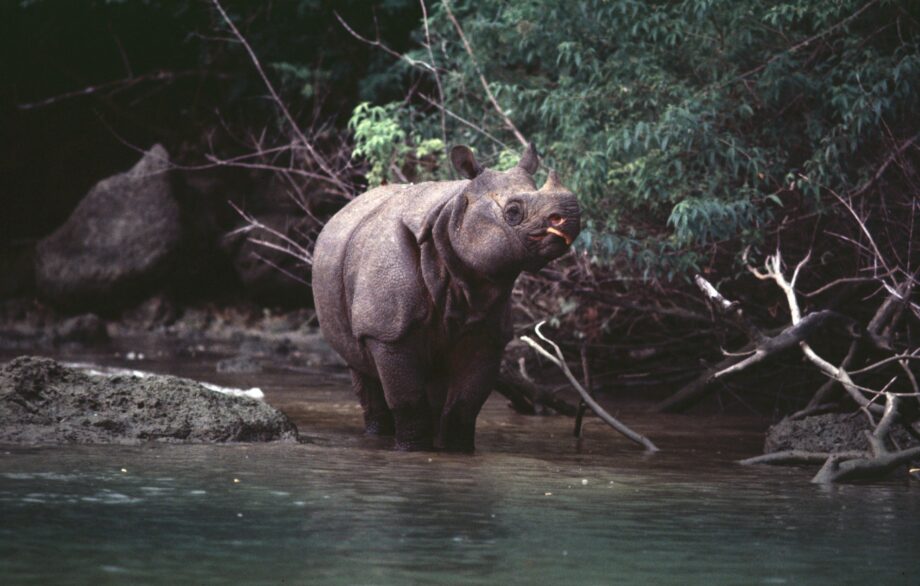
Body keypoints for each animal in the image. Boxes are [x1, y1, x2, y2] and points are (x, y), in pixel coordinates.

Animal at [312, 144, 580, 451]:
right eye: (513, 211)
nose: (571, 216)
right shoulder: (387, 331)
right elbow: (407, 399)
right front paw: (412, 449)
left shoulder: (487, 334)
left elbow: (465, 404)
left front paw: (458, 450)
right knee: (360, 366)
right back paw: (377, 435)